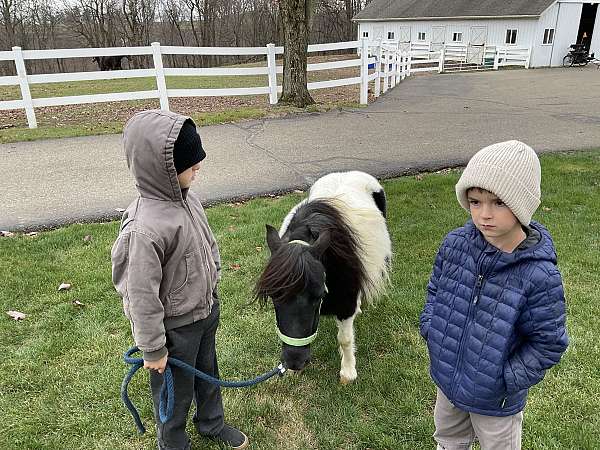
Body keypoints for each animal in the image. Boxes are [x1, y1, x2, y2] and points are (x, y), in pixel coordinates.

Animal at [254, 171, 392, 382]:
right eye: (273, 296)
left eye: (318, 295)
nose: (294, 362)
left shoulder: (346, 303)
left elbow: (345, 338)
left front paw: (348, 372)